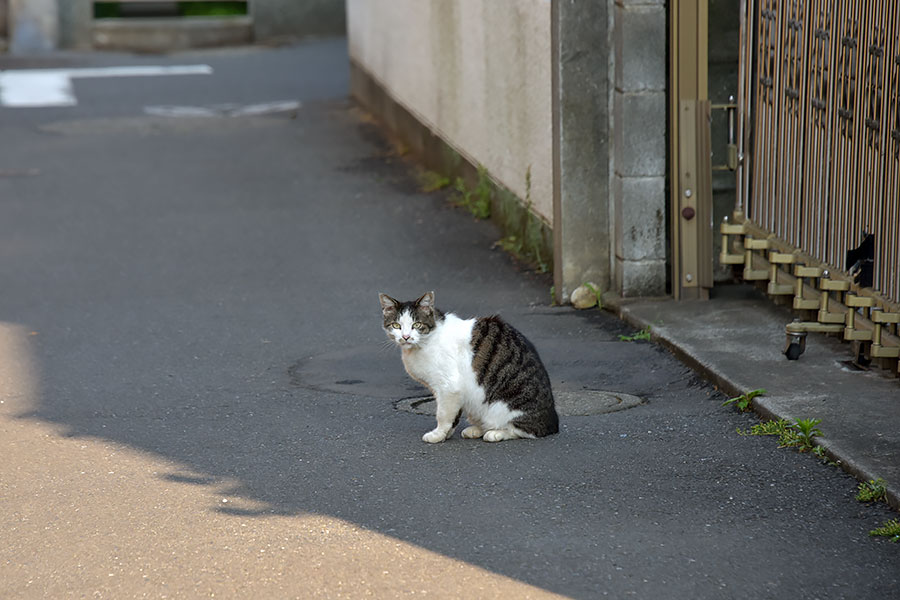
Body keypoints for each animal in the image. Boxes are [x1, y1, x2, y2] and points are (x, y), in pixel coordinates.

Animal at [378, 292, 560, 442]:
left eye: (416, 325)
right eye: (396, 325)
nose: (405, 337)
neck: (424, 342)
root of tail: (553, 422)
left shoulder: (448, 386)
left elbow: (442, 414)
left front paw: (437, 435)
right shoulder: (449, 391)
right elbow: (453, 414)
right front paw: (447, 434)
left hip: (504, 407)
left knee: (525, 430)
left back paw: (496, 433)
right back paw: (476, 429)